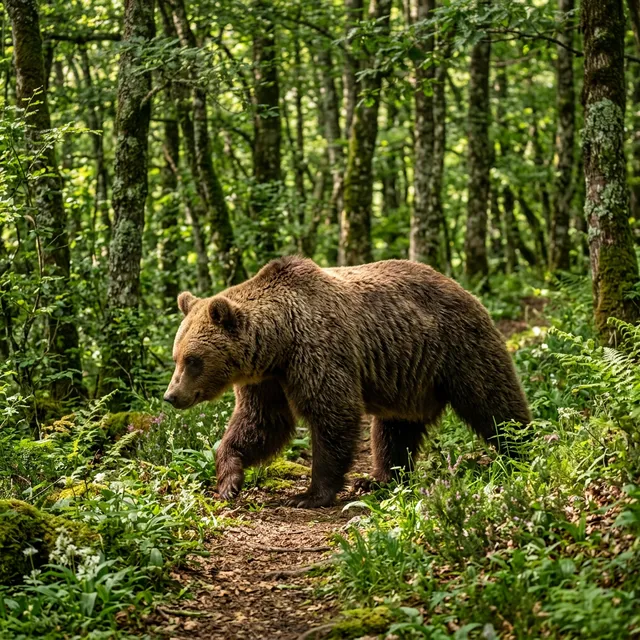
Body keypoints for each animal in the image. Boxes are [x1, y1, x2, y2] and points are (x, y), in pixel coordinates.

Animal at [164, 256, 531, 508]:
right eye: (176, 356)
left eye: (193, 360)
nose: (171, 396)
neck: (279, 342)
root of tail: (463, 288)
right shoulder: (267, 379)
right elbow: (261, 422)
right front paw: (228, 480)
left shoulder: (318, 351)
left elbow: (332, 414)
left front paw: (309, 494)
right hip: (410, 380)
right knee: (394, 430)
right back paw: (379, 480)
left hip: (459, 349)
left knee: (493, 403)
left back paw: (520, 451)